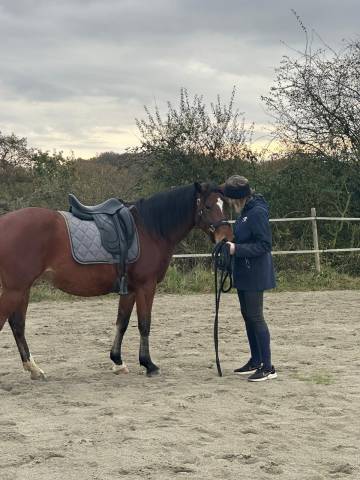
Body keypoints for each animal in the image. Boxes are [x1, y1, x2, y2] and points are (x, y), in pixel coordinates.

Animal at [0, 182, 233, 380]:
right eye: (209, 206)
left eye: (226, 206)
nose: (226, 239)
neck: (150, 229)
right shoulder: (146, 286)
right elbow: (144, 324)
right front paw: (149, 364)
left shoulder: (129, 289)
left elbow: (122, 322)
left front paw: (118, 362)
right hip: (15, 289)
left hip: (22, 289)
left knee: (17, 324)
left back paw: (34, 369)